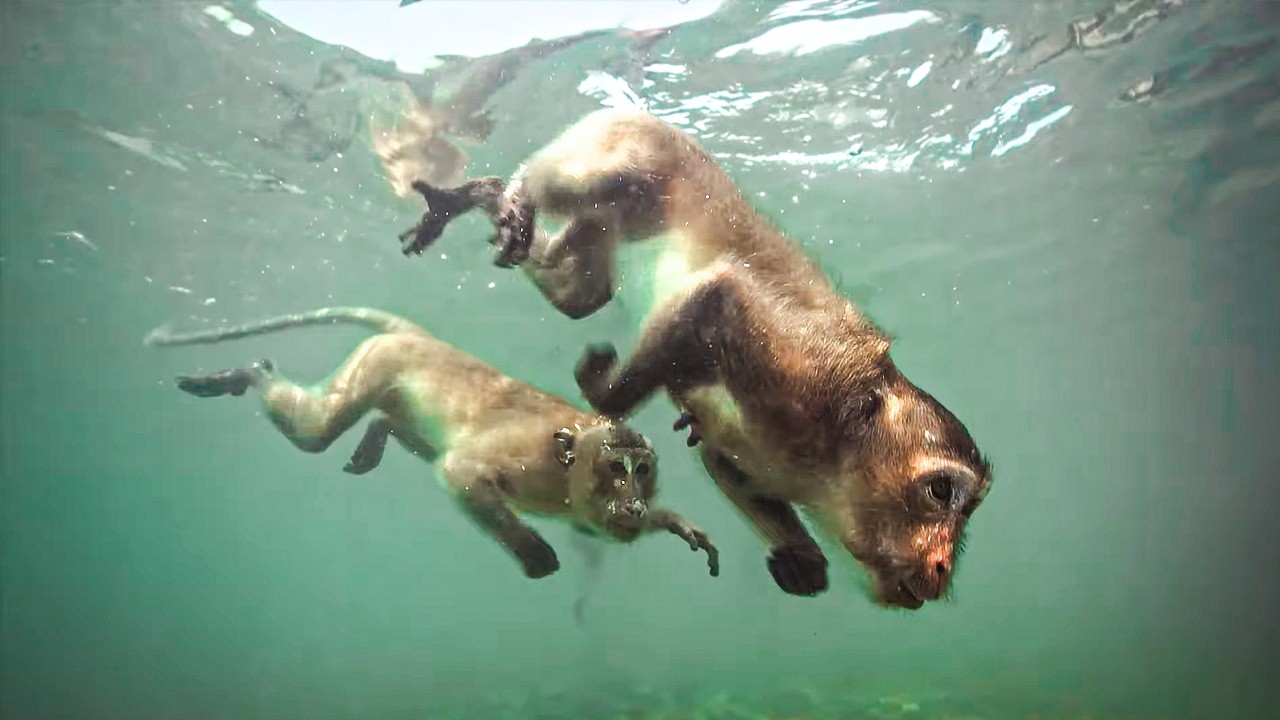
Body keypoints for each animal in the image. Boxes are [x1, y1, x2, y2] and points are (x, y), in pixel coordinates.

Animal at [142, 306, 719, 581]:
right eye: (617, 469)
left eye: (643, 470)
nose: (636, 501)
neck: (567, 465)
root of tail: (417, 335)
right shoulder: (527, 463)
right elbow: (459, 474)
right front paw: (534, 552)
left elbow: (594, 526)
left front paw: (670, 521)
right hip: (375, 362)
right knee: (320, 429)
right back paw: (250, 372)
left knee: (404, 433)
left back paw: (376, 437)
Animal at [394, 108, 993, 610]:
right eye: (941, 492)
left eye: (972, 508)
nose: (942, 567)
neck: (834, 451)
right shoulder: (800, 375)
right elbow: (714, 296)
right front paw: (605, 390)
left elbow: (720, 460)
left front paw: (803, 561)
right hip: (627, 153)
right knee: (576, 187)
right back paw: (509, 195)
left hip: (599, 231)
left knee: (579, 292)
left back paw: (490, 198)